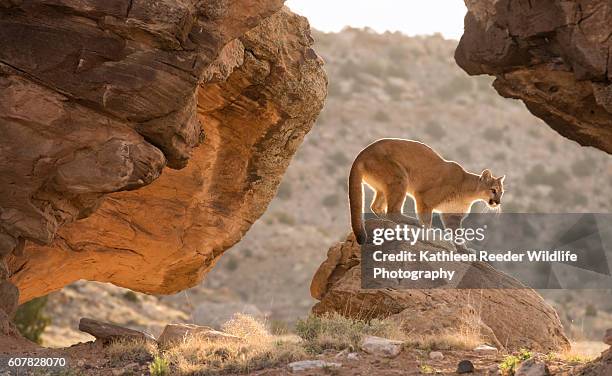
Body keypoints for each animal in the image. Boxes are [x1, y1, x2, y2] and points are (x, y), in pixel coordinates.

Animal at [350, 138, 506, 244]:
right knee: (393, 211)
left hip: (386, 185)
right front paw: (429, 231)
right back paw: (412, 221)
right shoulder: (424, 198)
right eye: (493, 190)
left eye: (501, 192)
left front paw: (465, 250)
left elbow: (457, 235)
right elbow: (426, 219)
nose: (498, 202)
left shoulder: (452, 216)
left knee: (376, 206)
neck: (469, 193)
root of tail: (362, 152)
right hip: (400, 178)